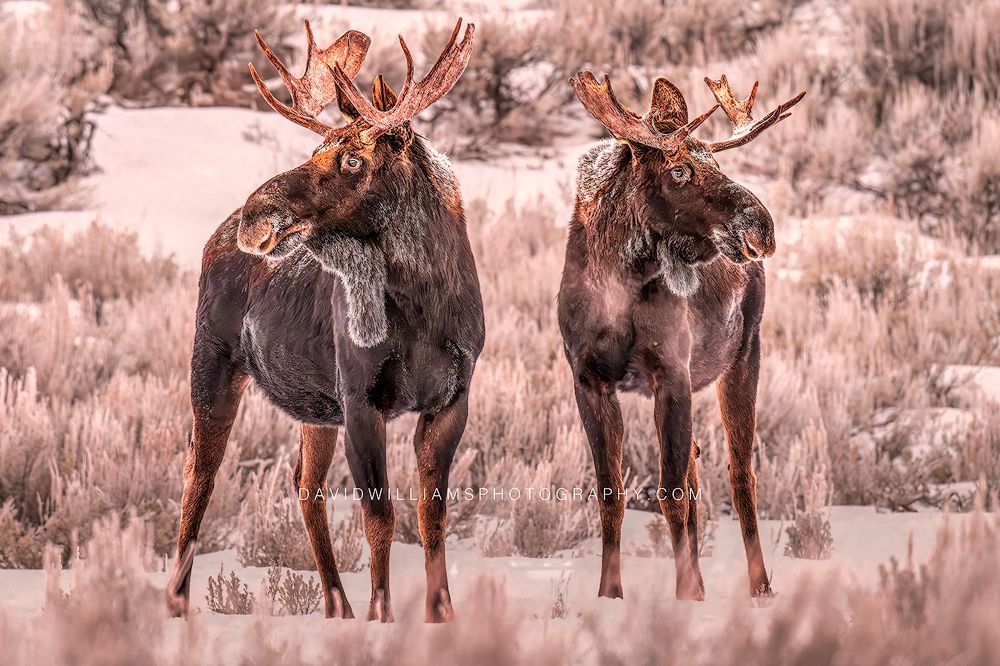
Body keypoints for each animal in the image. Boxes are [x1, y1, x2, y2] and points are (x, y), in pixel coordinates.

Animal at [165, 19, 482, 624]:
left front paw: (442, 617)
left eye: (353, 159)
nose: (256, 216)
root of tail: (215, 237)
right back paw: (176, 603)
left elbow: (431, 518)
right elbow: (380, 518)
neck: (426, 308)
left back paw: (338, 607)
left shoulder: (453, 398)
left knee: (303, 485)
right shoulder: (360, 397)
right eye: (317, 148)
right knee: (198, 475)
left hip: (315, 408)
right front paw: (384, 617)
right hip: (212, 363)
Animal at [558, 71, 804, 600]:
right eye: (679, 171)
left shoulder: (670, 371)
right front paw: (611, 593)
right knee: (694, 470)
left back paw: (760, 586)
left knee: (739, 474)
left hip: (743, 356)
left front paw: (686, 593)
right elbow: (612, 491)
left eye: (716, 161)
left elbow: (670, 491)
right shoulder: (589, 379)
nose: (762, 226)